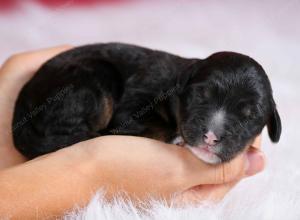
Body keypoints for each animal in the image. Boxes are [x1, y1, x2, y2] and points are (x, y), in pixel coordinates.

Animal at [12, 42, 282, 163]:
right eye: (200, 96)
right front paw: (175, 137)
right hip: (92, 80)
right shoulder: (131, 106)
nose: (210, 137)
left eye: (249, 116)